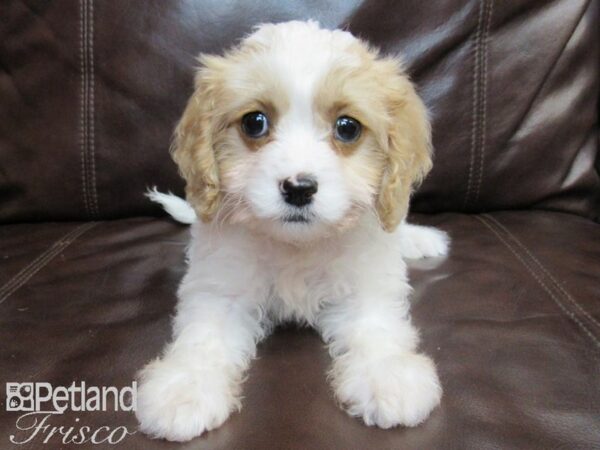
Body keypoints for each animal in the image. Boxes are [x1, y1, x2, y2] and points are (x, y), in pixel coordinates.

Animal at [136, 20, 446, 440]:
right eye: (255, 122)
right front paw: (184, 390)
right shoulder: (221, 287)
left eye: (347, 128)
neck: (297, 245)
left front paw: (388, 379)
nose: (299, 188)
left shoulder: (365, 284)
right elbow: (204, 337)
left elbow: (375, 328)